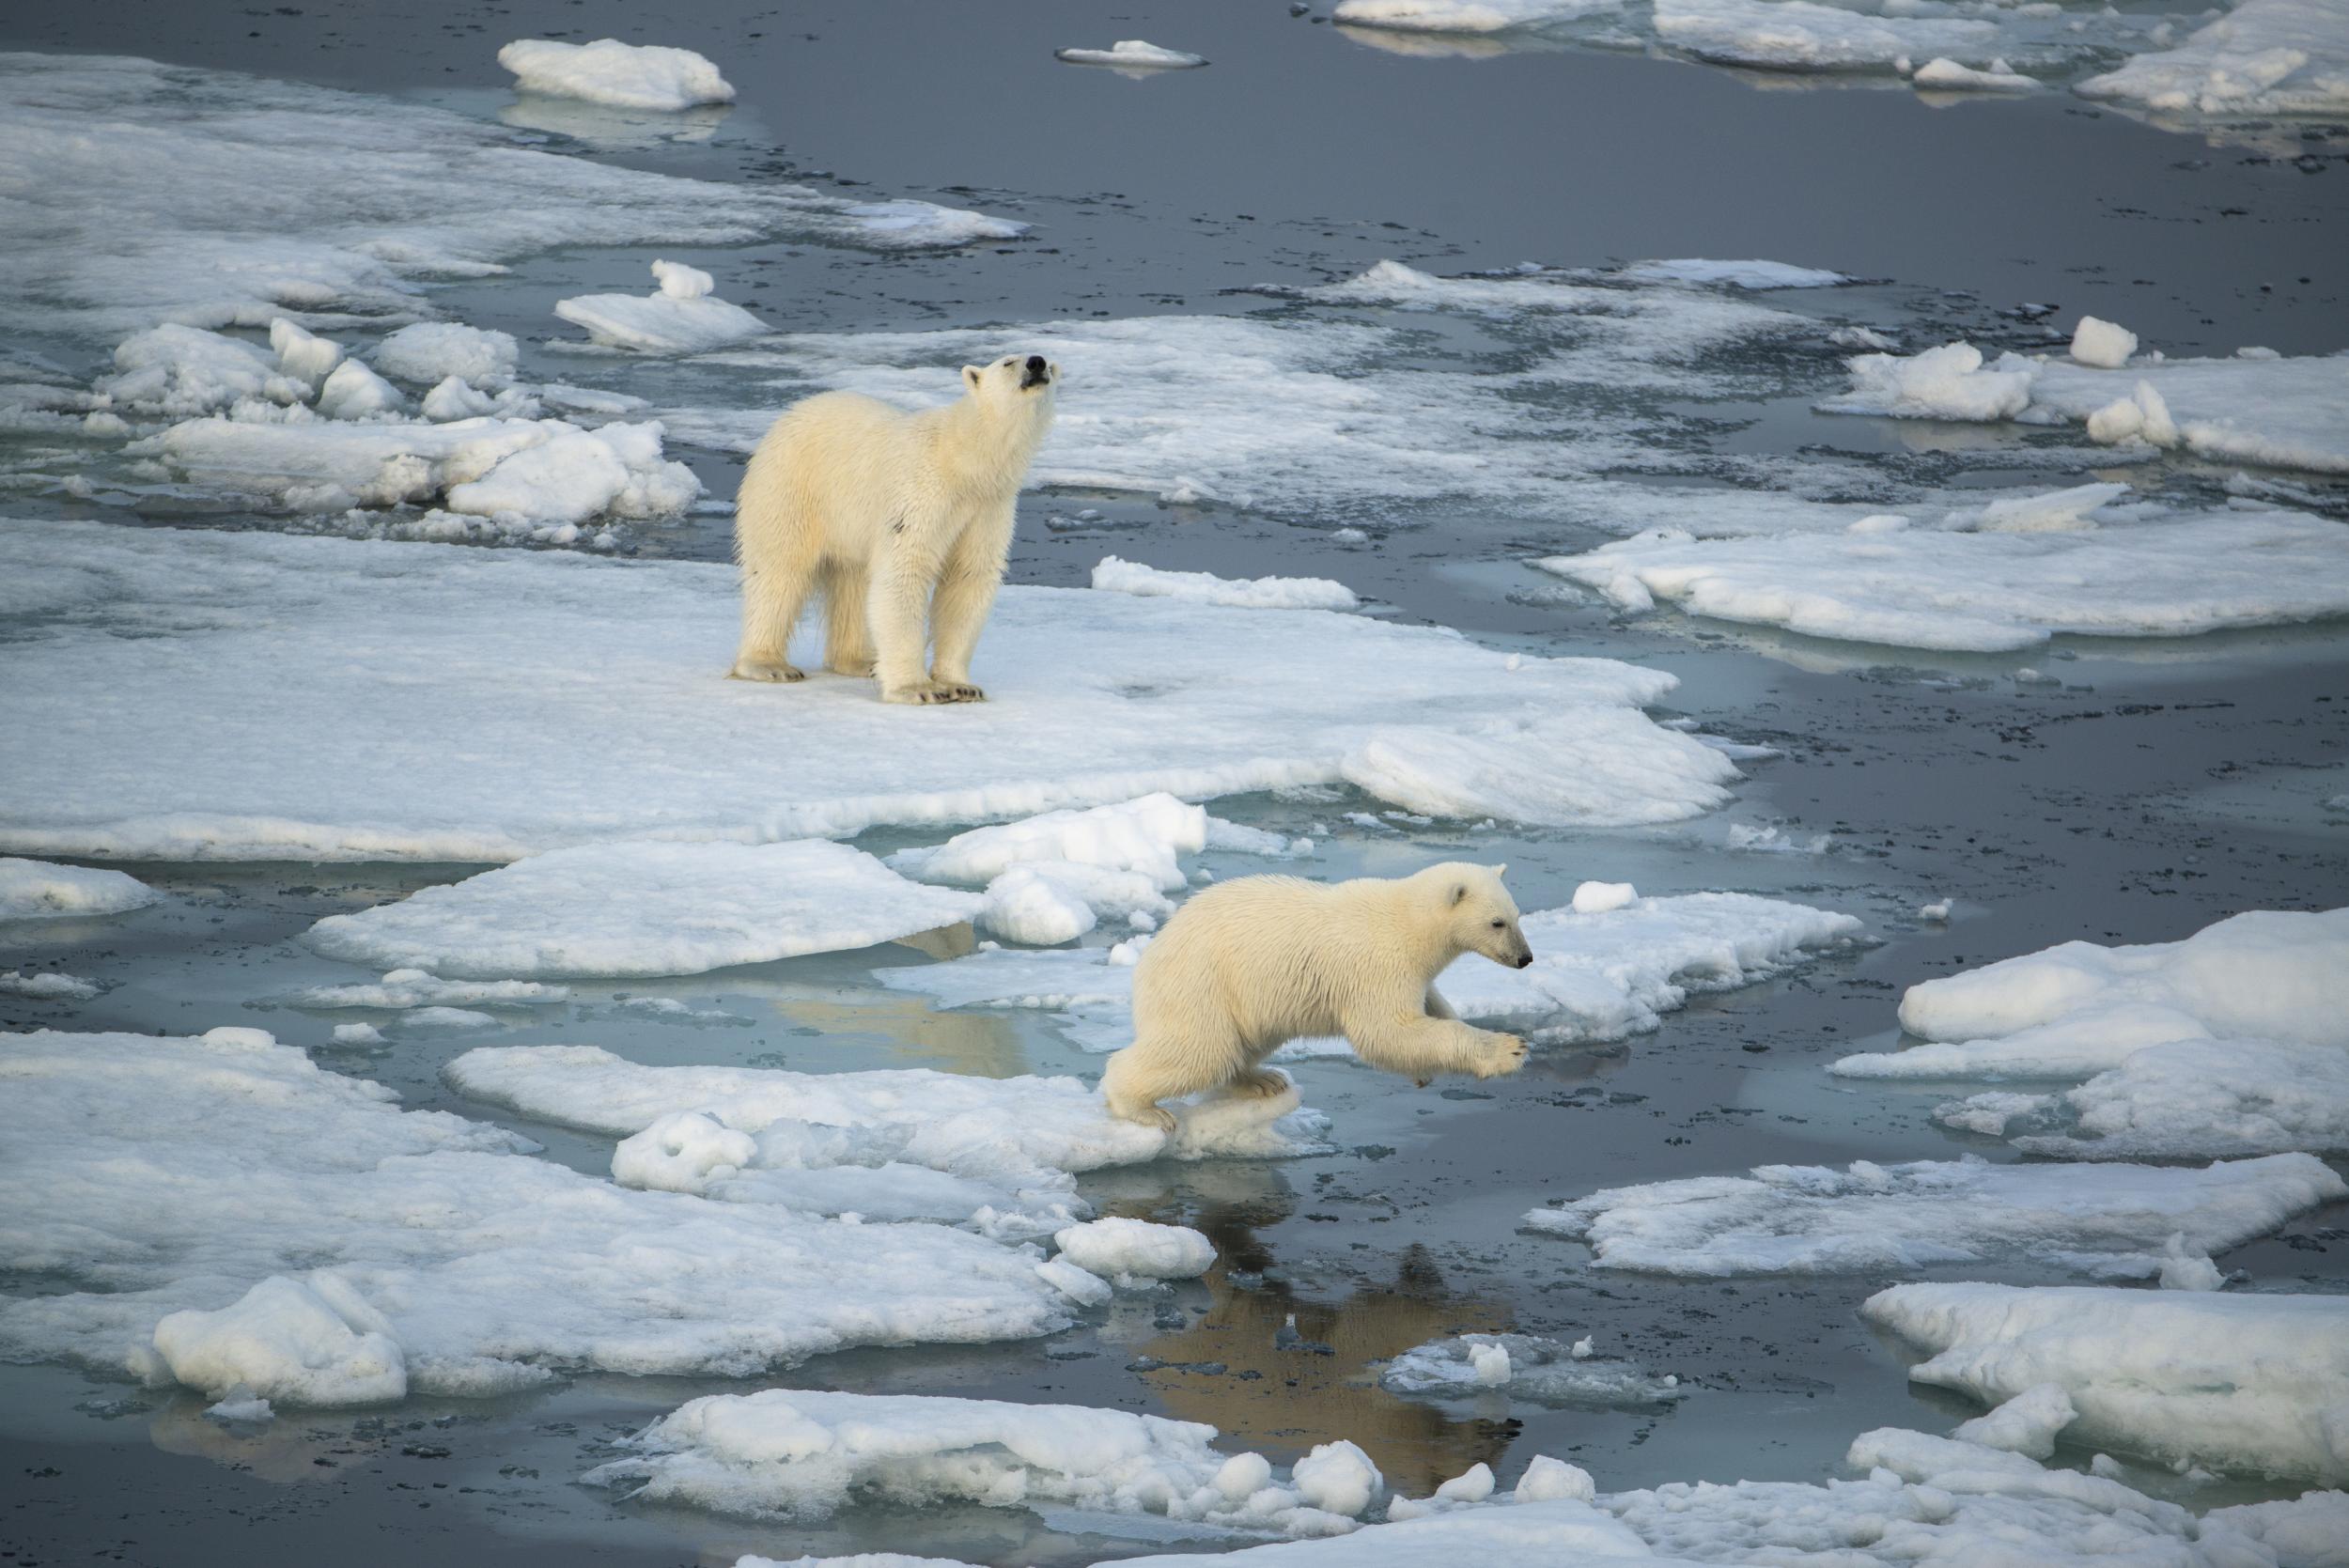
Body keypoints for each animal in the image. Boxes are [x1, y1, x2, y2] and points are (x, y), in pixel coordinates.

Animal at [738, 354, 1062, 704]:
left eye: (1047, 362)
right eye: (1008, 362)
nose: (1036, 362)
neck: (963, 460)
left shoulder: (988, 507)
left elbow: (967, 576)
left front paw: (962, 686)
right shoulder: (921, 492)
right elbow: (906, 568)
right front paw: (918, 689)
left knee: (852, 582)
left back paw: (860, 661)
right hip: (792, 488)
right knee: (780, 570)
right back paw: (769, 665)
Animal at [1104, 859, 1541, 1126]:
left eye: (1517, 915)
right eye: (1497, 922)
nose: (1525, 958)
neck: (1408, 923)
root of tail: (1151, 954)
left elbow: (1428, 1005)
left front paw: (1424, 1069)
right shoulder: (1376, 965)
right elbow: (1387, 1031)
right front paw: (1510, 1050)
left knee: (1243, 1043)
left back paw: (1262, 1080)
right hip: (1201, 983)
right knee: (1200, 1050)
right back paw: (1143, 1109)